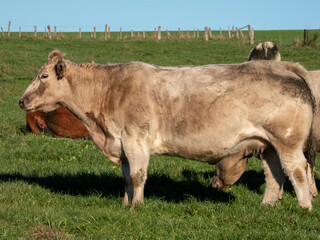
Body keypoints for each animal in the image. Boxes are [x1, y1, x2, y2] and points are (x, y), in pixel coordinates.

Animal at [19, 50, 316, 210]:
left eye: (43, 76)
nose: (21, 100)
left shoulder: (135, 141)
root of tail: (284, 67)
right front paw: (125, 203)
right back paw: (267, 206)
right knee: (275, 175)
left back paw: (304, 207)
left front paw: (136, 207)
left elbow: (138, 176)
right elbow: (126, 178)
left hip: (287, 142)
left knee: (297, 171)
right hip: (268, 145)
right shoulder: (122, 146)